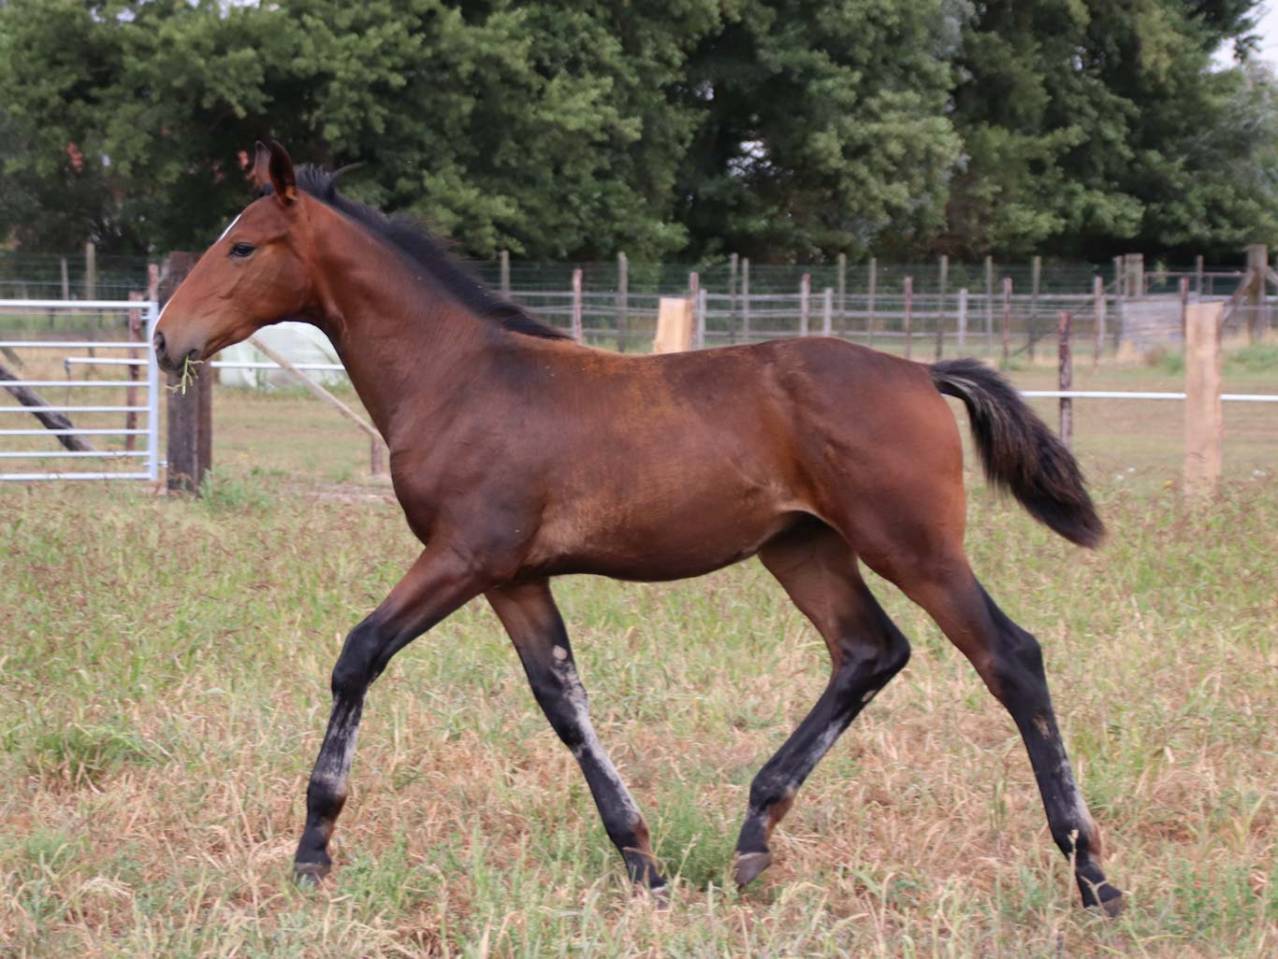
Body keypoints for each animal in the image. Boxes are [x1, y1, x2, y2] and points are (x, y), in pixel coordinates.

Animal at [152, 141, 1123, 914]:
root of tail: (920, 372)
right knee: (868, 650)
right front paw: (642, 860)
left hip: (913, 545)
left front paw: (313, 847)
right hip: (802, 547)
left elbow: (359, 654)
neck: (459, 375)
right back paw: (755, 832)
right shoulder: (515, 577)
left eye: (243, 245)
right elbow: (563, 701)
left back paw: (1092, 873)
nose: (165, 339)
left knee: (1010, 656)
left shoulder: (464, 554)